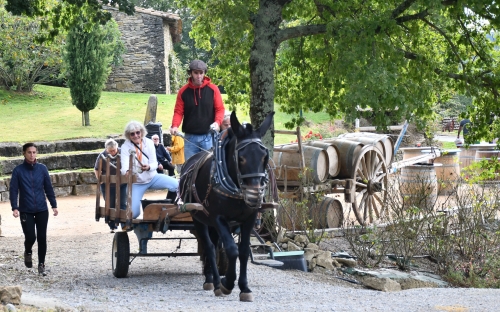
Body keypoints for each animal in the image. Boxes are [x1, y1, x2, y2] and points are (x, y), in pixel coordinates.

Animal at [179, 111, 274, 302]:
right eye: (241, 158)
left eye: (264, 157)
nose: (254, 196)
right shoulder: (218, 218)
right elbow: (231, 249)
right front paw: (227, 283)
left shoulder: (249, 218)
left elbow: (243, 251)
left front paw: (244, 287)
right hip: (199, 218)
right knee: (208, 247)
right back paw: (215, 282)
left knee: (214, 246)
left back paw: (209, 277)